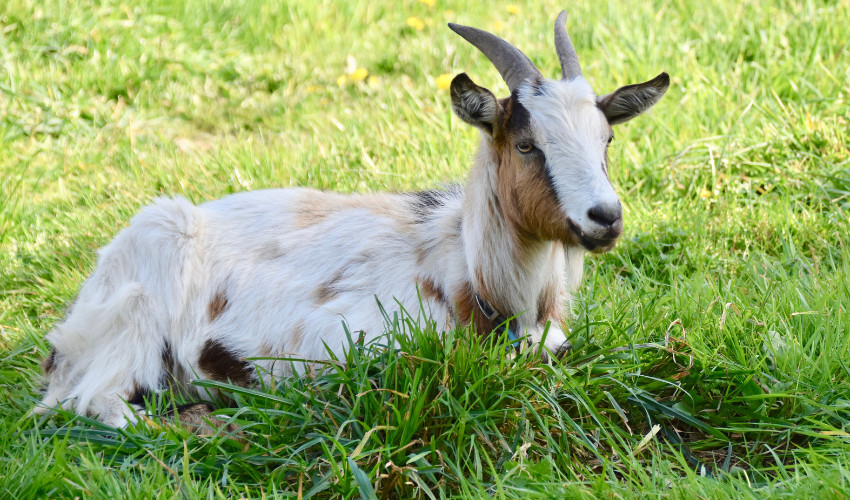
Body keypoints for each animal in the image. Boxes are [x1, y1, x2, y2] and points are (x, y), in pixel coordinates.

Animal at [34, 11, 669, 427]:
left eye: (607, 139)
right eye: (527, 144)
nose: (605, 217)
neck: (474, 277)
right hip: (137, 318)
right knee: (98, 402)